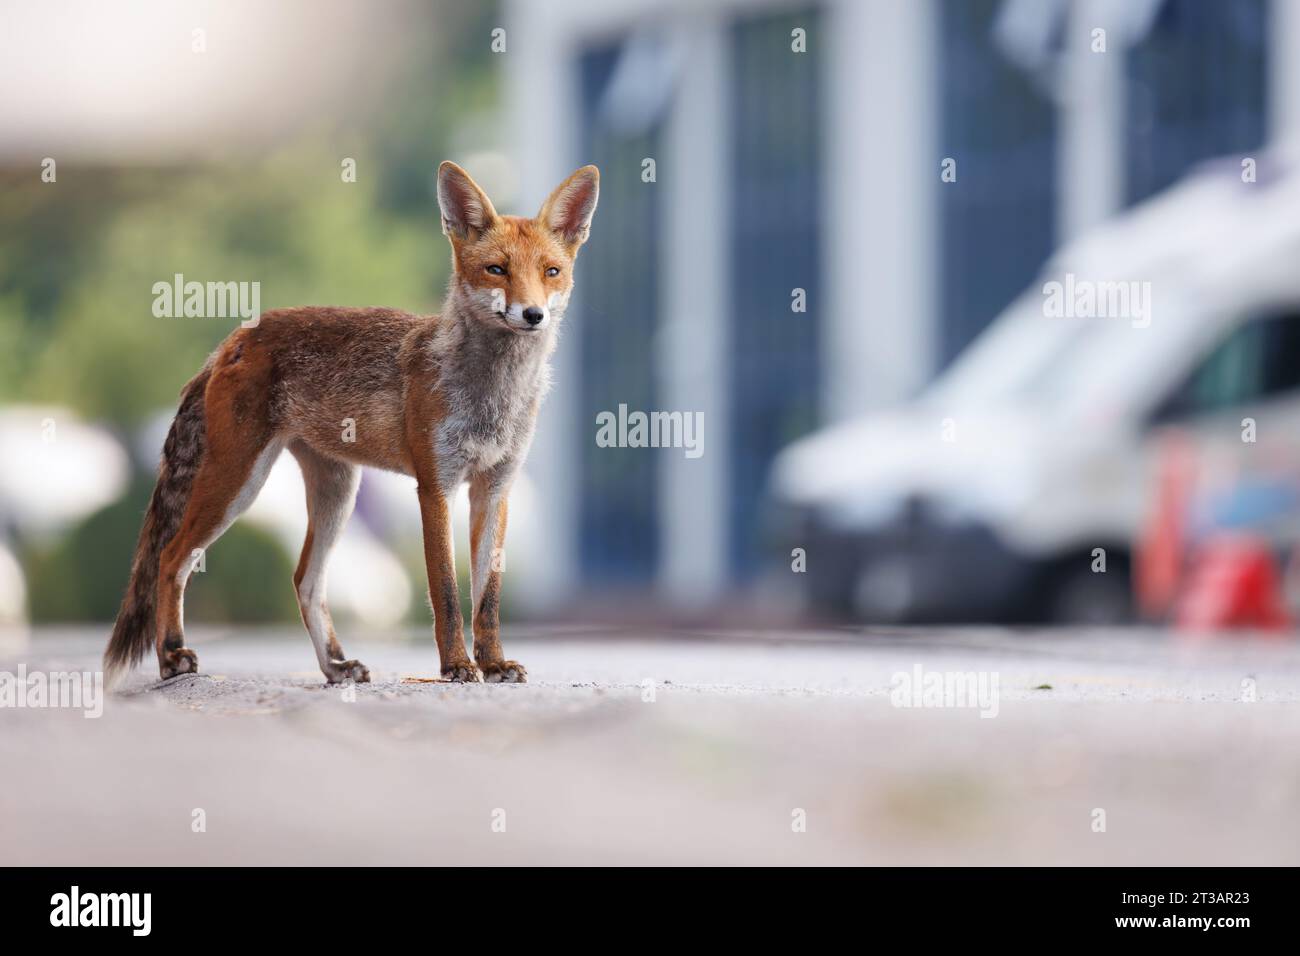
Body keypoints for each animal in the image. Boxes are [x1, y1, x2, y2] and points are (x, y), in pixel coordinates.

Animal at [104, 162, 600, 686]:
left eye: (551, 272)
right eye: (497, 270)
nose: (533, 314)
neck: (492, 395)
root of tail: (234, 338)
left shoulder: (495, 488)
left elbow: (488, 597)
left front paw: (493, 662)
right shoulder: (435, 487)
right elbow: (445, 590)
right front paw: (457, 665)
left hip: (337, 491)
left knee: (304, 579)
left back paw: (335, 666)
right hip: (237, 481)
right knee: (170, 557)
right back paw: (171, 658)